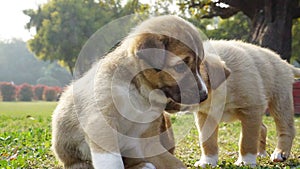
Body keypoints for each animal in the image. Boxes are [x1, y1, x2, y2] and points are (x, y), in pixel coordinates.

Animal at [51, 15, 209, 168]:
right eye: (180, 67)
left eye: (199, 65)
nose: (204, 96)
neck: (138, 92)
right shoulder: (101, 125)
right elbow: (113, 163)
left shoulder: (147, 142)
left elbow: (176, 163)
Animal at [192, 40, 298, 168]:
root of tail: (285, 63)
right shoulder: (206, 115)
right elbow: (207, 141)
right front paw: (207, 161)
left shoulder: (251, 110)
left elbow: (247, 140)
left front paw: (245, 162)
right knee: (263, 128)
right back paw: (260, 153)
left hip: (280, 101)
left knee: (286, 128)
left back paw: (280, 153)